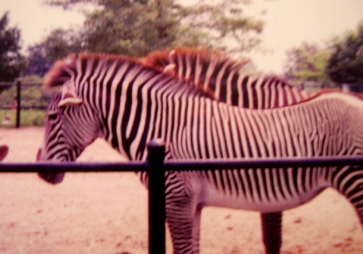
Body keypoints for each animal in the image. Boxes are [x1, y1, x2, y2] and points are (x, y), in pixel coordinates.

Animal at [36, 52, 363, 253]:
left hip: (355, 181)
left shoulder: (178, 200)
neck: (162, 127)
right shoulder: (192, 204)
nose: (40, 171)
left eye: (52, 117)